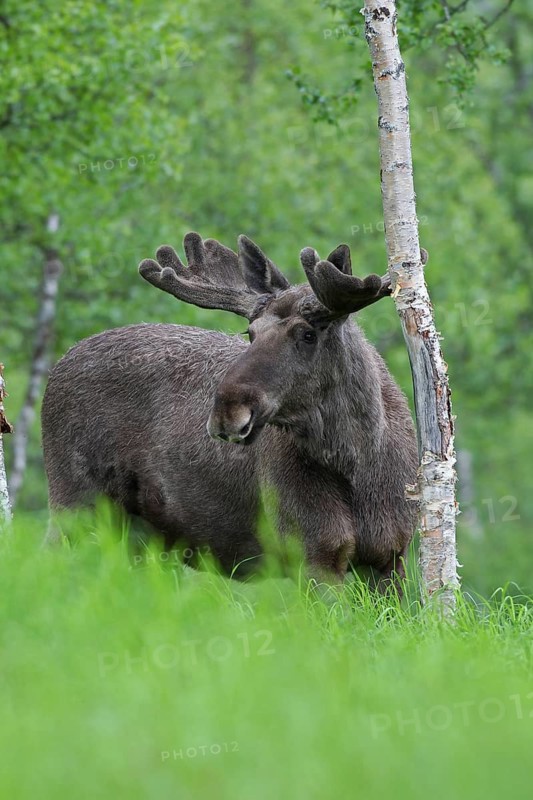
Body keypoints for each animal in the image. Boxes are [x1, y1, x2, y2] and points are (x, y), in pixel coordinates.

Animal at [41, 232, 421, 590]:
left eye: (308, 334)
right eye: (250, 332)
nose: (227, 411)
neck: (359, 459)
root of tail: (57, 367)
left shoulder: (391, 554)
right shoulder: (312, 551)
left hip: (139, 536)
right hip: (73, 503)